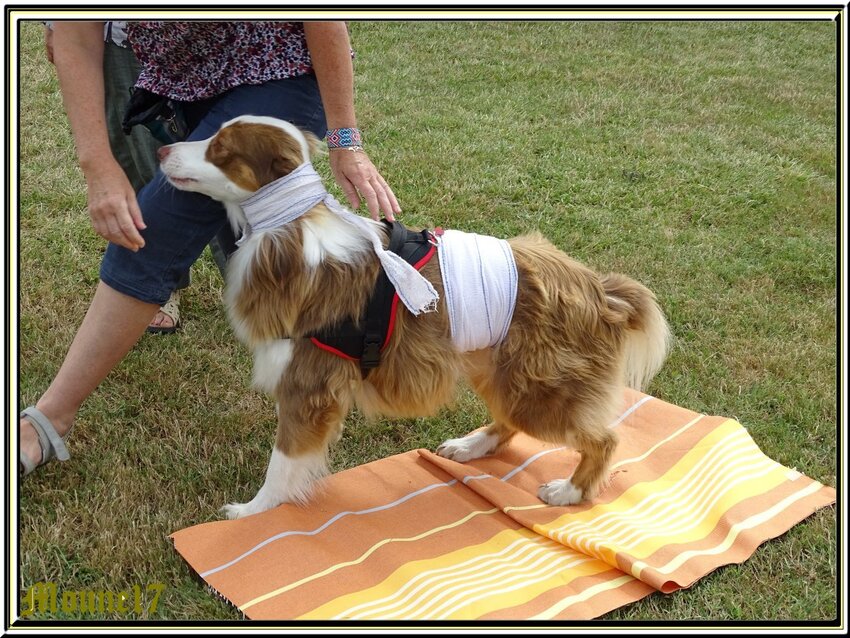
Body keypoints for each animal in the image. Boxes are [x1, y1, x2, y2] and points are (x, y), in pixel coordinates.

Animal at [159, 117, 668, 524]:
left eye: (221, 150)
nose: (163, 150)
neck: (290, 232)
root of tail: (601, 289)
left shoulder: (308, 386)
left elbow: (282, 461)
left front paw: (253, 511)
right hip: (500, 368)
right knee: (509, 420)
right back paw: (471, 446)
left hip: (538, 383)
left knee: (603, 439)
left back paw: (569, 490)